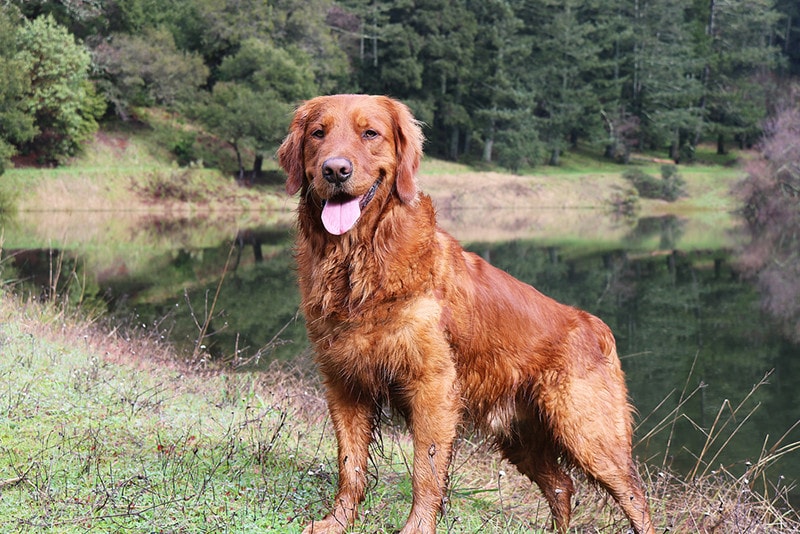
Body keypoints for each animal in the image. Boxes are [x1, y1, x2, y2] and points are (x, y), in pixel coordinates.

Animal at [278, 96, 652, 534]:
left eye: (370, 133)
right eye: (318, 133)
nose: (335, 170)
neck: (360, 263)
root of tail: (596, 325)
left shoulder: (432, 385)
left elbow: (426, 470)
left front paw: (417, 528)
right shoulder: (344, 382)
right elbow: (349, 464)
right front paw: (337, 522)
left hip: (589, 434)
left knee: (636, 498)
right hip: (523, 439)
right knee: (562, 485)